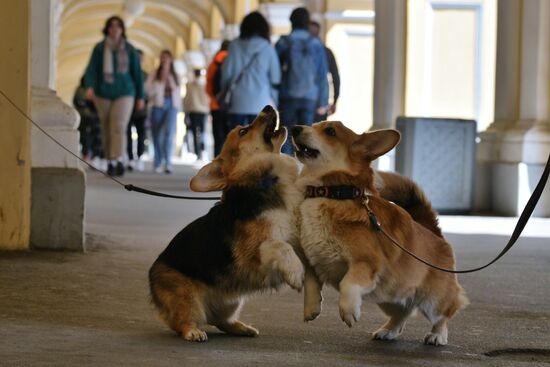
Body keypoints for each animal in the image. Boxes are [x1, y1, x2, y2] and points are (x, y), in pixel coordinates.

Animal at [149, 105, 304, 342]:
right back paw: (193, 331)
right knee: (181, 321)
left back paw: (242, 327)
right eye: (243, 131)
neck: (264, 180)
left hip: (233, 301)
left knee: (221, 321)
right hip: (187, 297)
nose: (268, 107)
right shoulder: (254, 252)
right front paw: (296, 272)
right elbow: (281, 246)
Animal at [296, 122, 468, 346]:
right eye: (314, 125)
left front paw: (348, 310)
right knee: (402, 313)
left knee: (444, 315)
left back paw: (437, 335)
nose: (295, 128)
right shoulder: (313, 261)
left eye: (330, 132)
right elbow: (310, 284)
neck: (333, 193)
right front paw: (311, 308)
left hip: (433, 300)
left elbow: (348, 283)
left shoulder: (366, 263)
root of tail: (434, 233)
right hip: (389, 296)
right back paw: (388, 331)